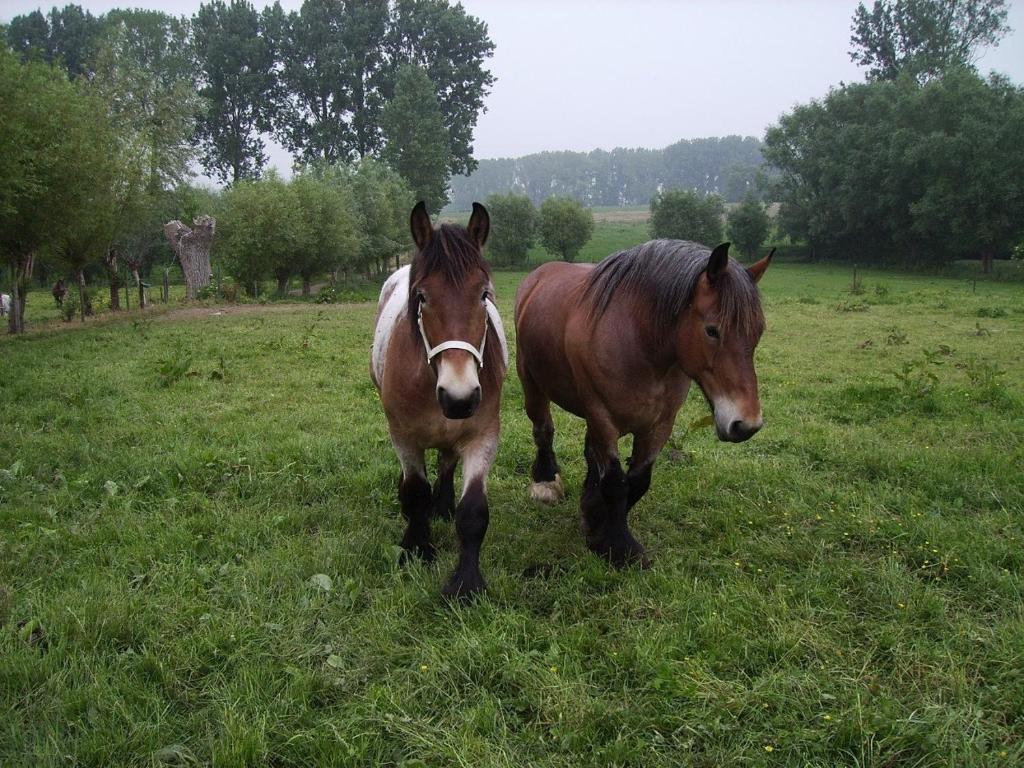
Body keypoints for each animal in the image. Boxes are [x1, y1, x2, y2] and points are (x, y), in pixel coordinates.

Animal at [372, 202, 507, 602]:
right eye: (422, 296)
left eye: (484, 295)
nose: (459, 397)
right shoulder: (404, 436)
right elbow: (415, 492)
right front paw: (416, 548)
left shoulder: (482, 435)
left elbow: (474, 512)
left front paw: (466, 582)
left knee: (447, 461)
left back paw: (444, 505)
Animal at [516, 239, 770, 565]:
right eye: (712, 330)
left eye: (758, 331)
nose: (746, 424)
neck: (639, 344)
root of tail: (540, 274)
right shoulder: (602, 416)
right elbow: (615, 481)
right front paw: (618, 546)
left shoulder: (660, 424)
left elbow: (638, 480)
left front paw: (595, 518)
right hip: (532, 384)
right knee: (543, 430)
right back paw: (546, 482)